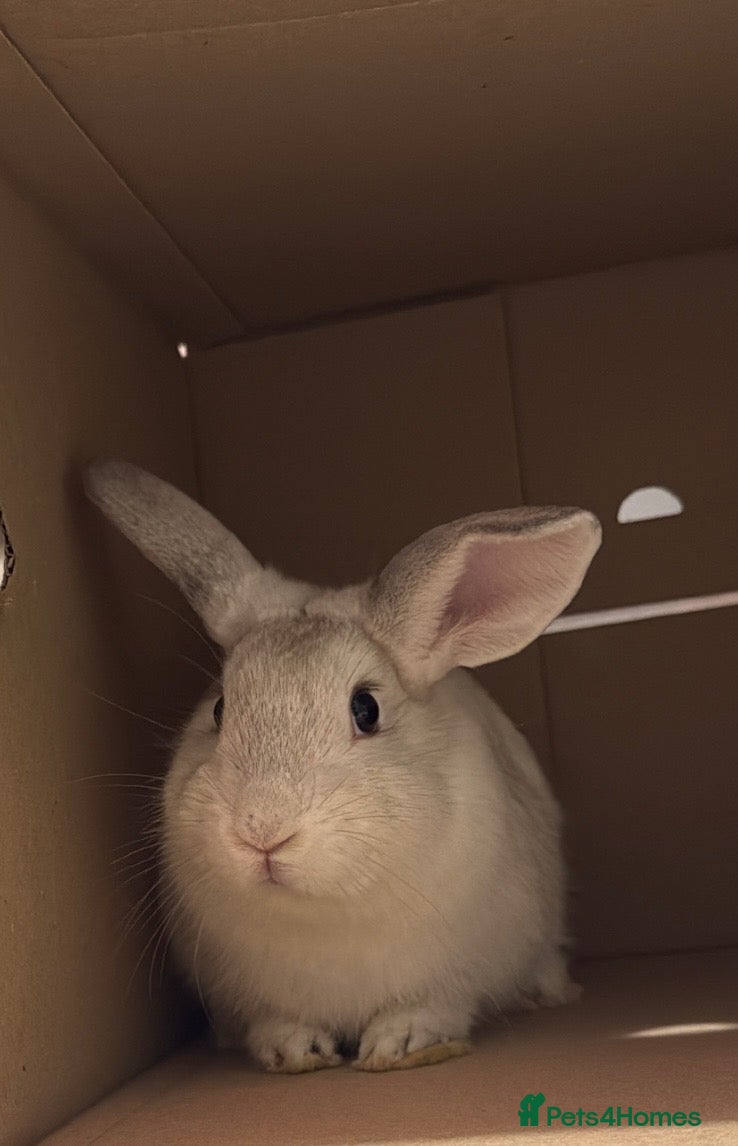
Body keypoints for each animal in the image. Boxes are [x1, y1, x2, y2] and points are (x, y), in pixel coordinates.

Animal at [85, 460, 601, 1073]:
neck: (318, 913)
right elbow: (275, 1021)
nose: (261, 830)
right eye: (219, 708)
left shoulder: (461, 975)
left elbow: (434, 1006)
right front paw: (293, 1050)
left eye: (366, 709)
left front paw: (398, 1043)